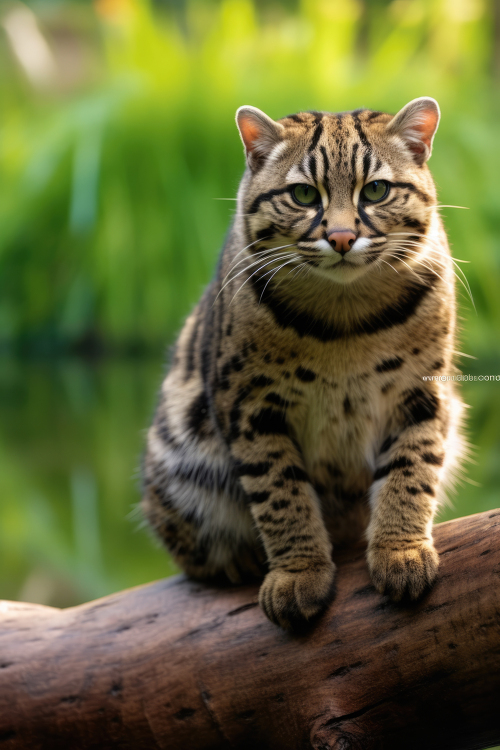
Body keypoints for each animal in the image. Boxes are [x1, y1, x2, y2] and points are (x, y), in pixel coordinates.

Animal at [143, 97, 462, 632]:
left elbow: (412, 466)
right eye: (303, 194)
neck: (346, 316)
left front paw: (400, 550)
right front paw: (298, 574)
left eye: (376, 190)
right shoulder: (248, 406)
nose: (341, 237)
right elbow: (280, 493)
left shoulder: (425, 392)